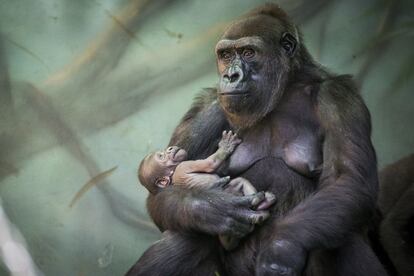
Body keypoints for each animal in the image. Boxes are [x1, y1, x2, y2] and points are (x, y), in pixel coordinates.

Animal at [138, 130, 274, 251]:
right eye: (161, 156)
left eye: (164, 152)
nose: (170, 149)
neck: (173, 172)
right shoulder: (184, 165)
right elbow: (210, 164)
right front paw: (225, 146)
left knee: (240, 182)